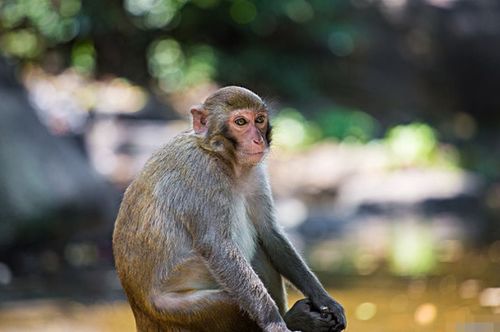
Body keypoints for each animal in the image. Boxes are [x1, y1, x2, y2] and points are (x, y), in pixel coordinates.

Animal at [113, 86, 348, 332]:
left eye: (259, 120)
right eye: (241, 122)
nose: (257, 140)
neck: (222, 156)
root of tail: (141, 314)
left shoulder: (255, 174)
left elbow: (270, 233)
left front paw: (324, 299)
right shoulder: (204, 172)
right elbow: (217, 245)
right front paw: (275, 322)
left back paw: (295, 317)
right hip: (178, 313)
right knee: (228, 300)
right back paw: (291, 318)